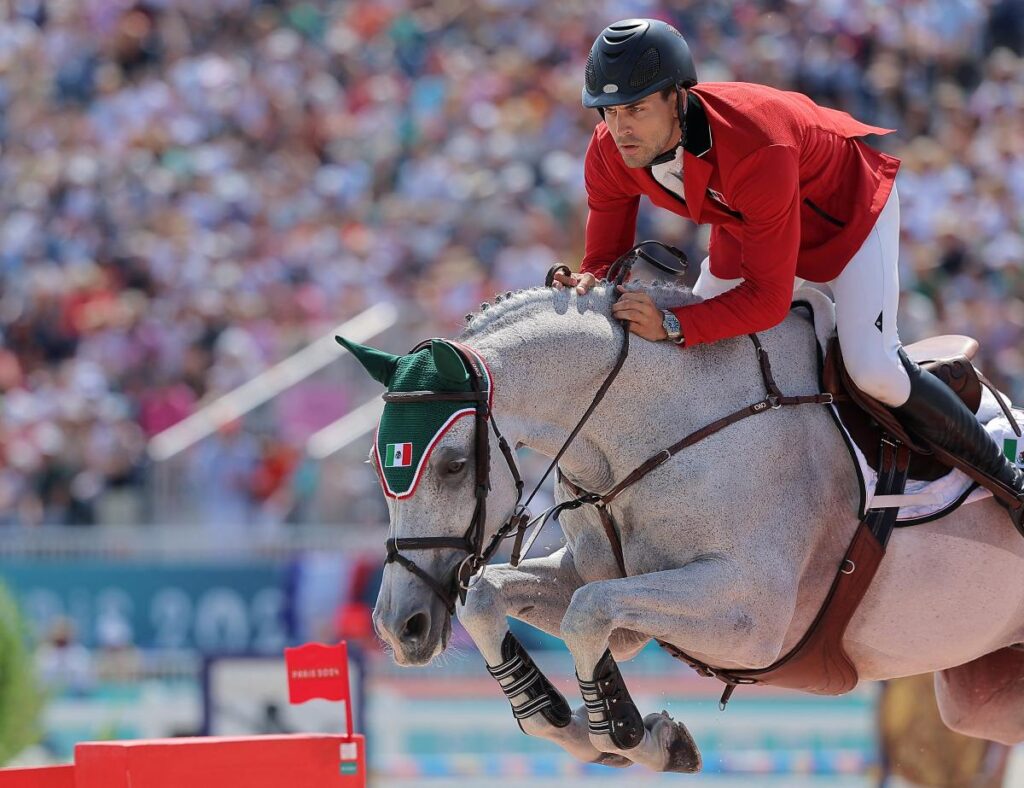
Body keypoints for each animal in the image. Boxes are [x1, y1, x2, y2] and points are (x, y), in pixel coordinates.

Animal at [344, 280, 1024, 769]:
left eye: (455, 465)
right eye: (378, 464)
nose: (400, 628)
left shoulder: (753, 618)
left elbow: (587, 613)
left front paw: (624, 731)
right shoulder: (597, 582)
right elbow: (491, 598)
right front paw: (575, 724)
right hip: (982, 691)